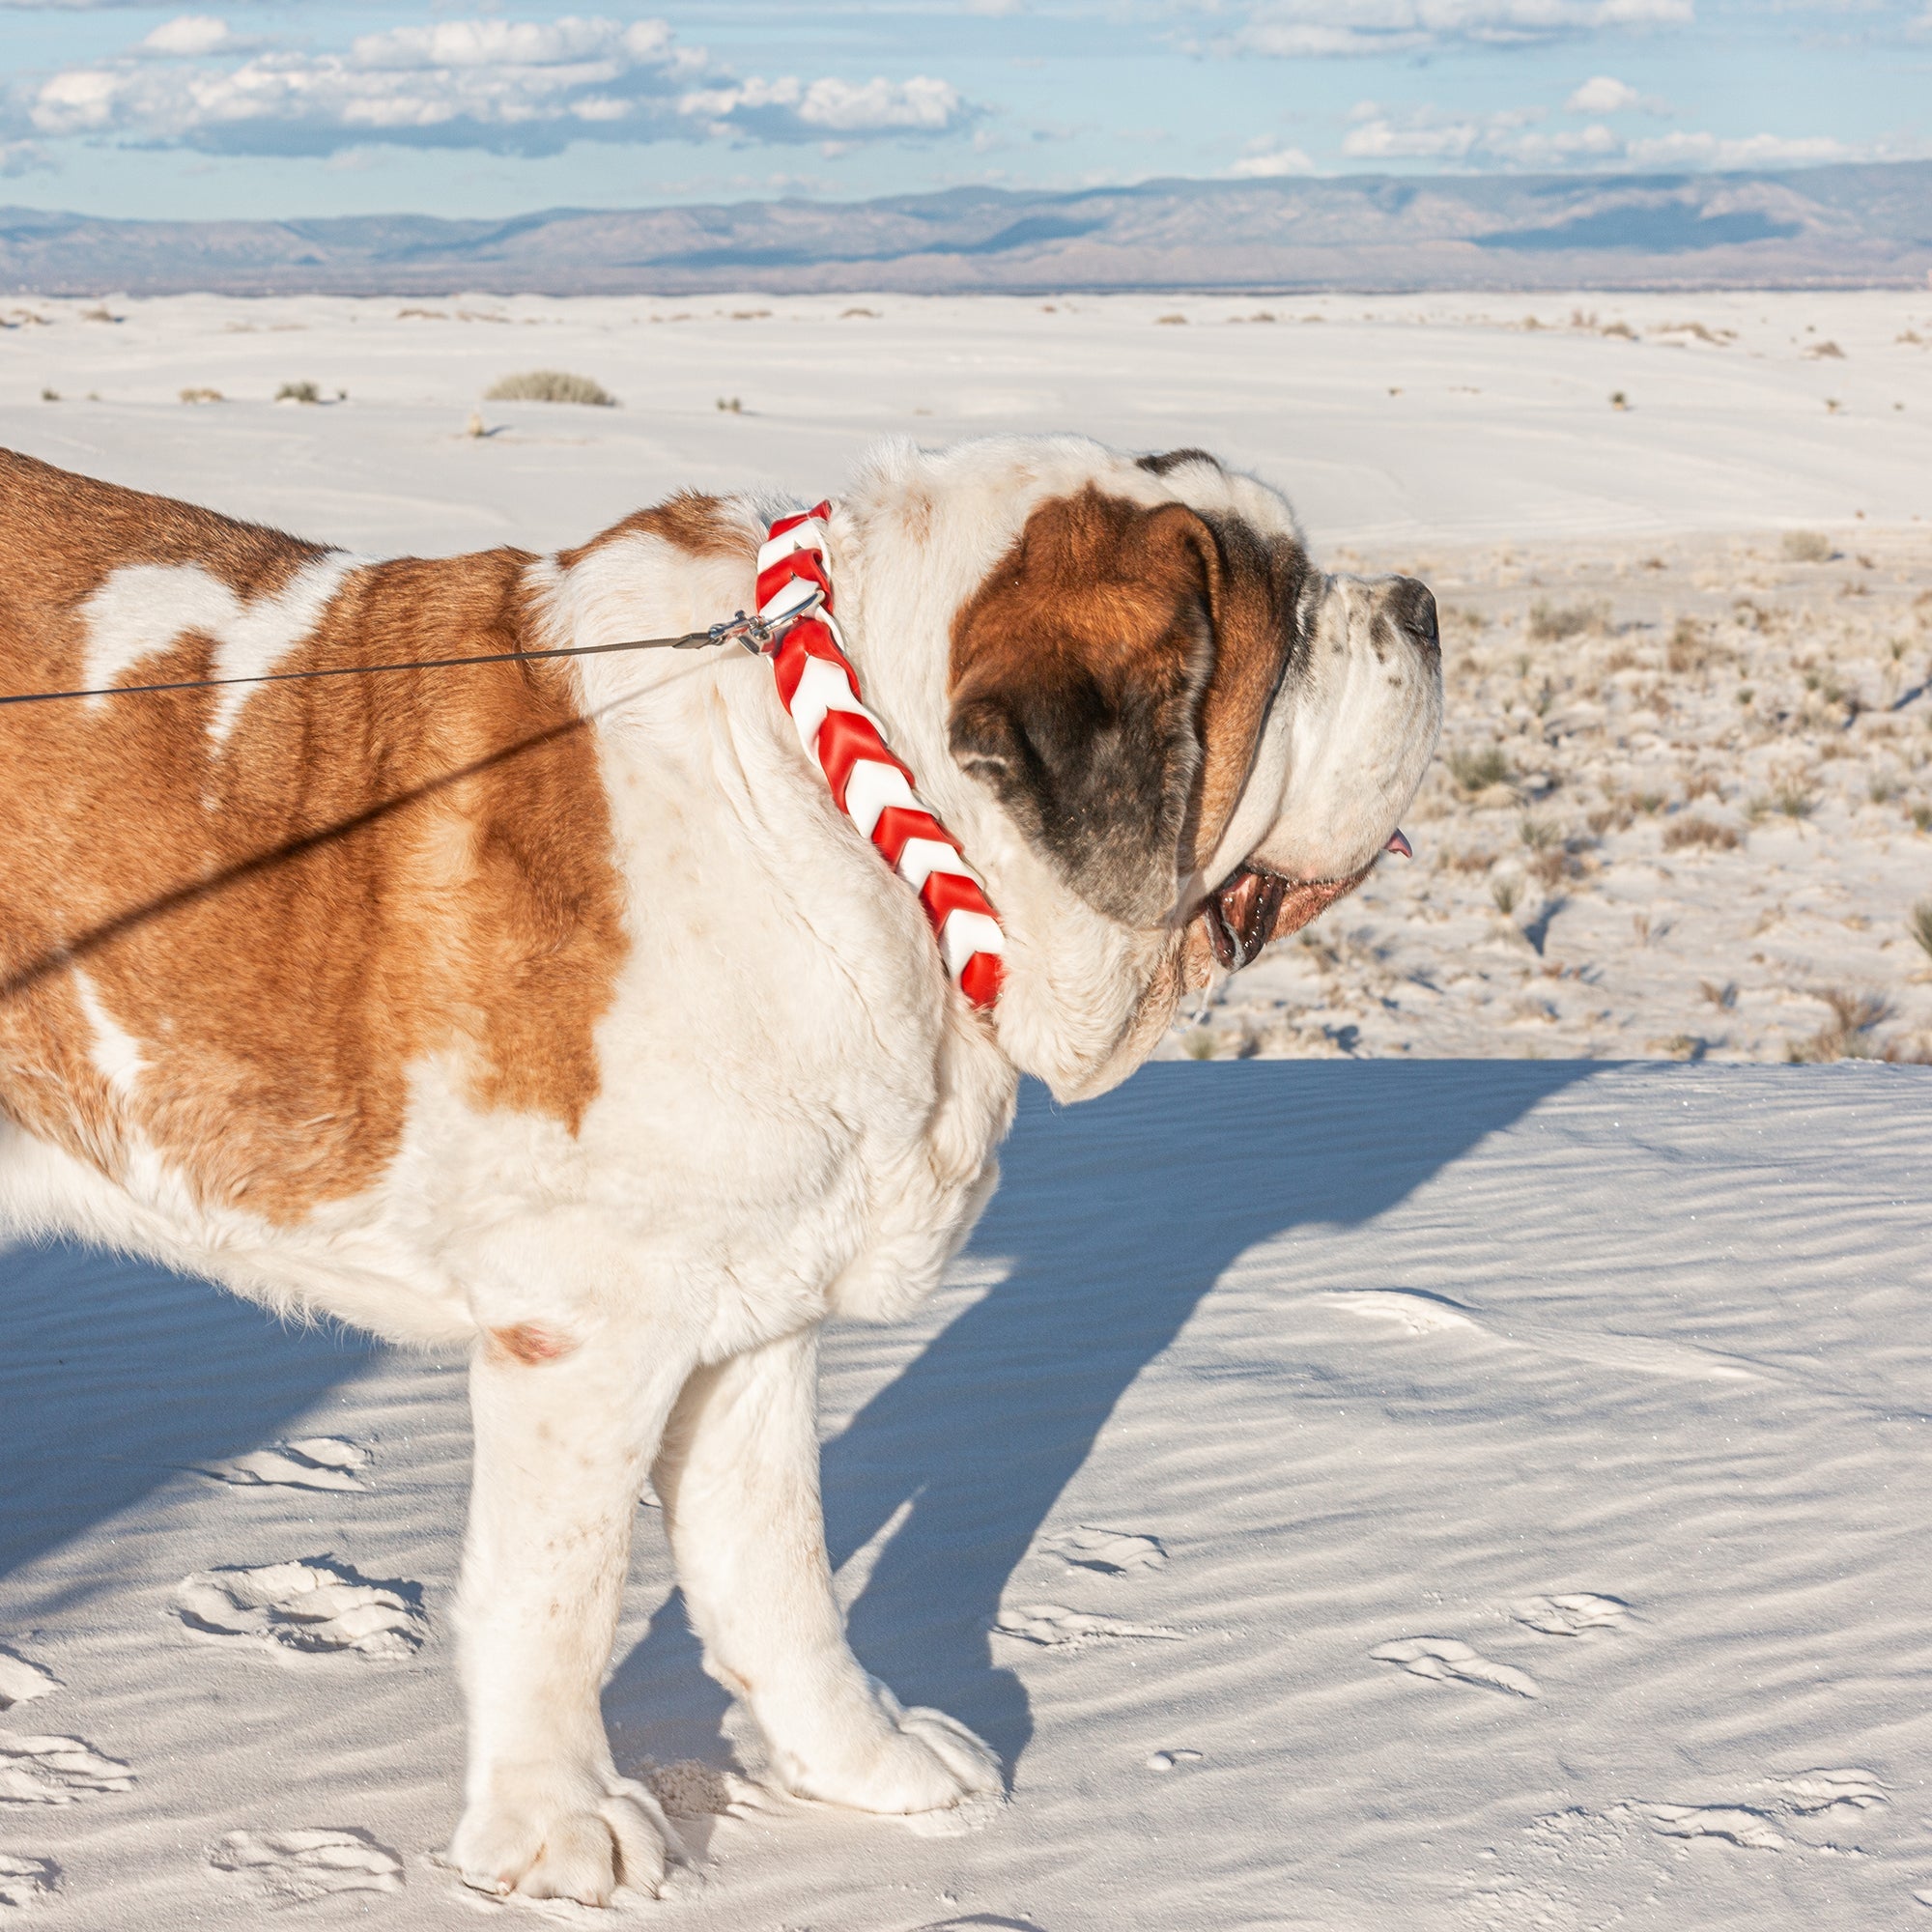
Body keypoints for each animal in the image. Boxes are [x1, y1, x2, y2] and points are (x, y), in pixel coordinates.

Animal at [0, 435, 1437, 1901]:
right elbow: (557, 1588)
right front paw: (560, 1826)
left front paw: (865, 1765)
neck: (852, 802)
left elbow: (777, 1563)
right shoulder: (588, 1326)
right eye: (1290, 623)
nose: (1421, 607)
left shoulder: (755, 1306)